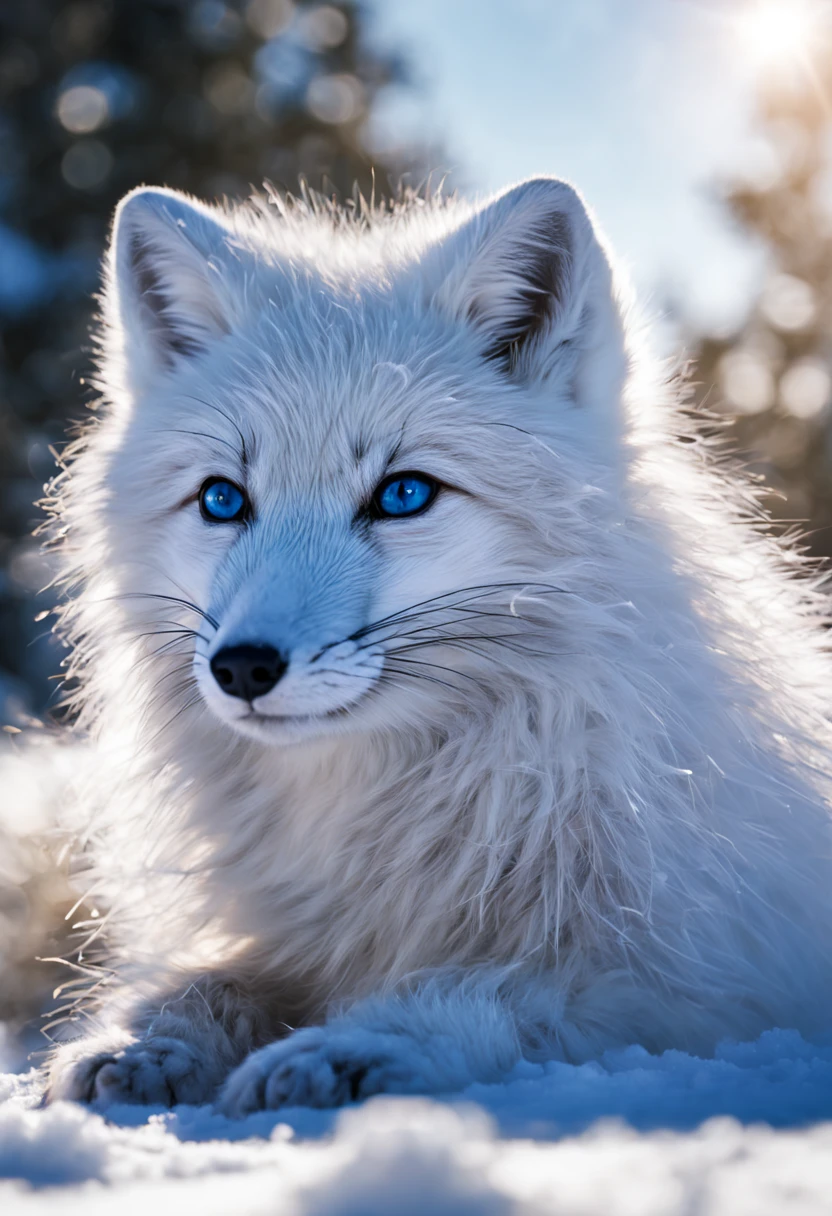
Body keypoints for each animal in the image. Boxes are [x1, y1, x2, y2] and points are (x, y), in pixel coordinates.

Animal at [42, 176, 832, 1114]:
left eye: (403, 493)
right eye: (223, 500)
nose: (242, 667)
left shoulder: (690, 984)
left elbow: (468, 988)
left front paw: (342, 1049)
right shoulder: (292, 935)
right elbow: (206, 980)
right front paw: (139, 1042)